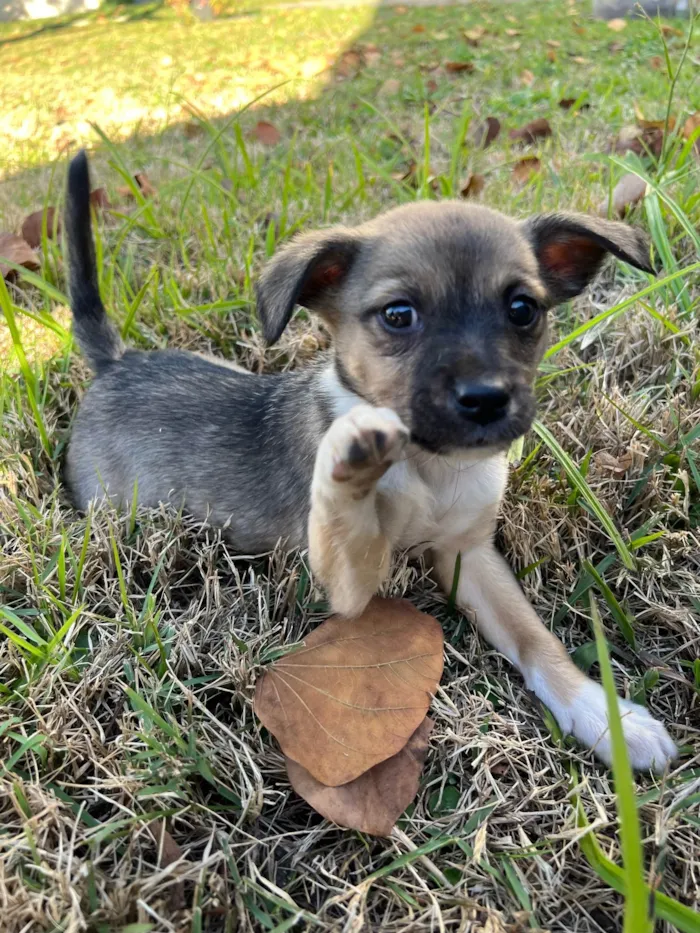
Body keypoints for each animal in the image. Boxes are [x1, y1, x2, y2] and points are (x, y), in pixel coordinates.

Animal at [65, 149, 680, 768]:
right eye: (398, 315)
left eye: (523, 309)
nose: (486, 400)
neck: (432, 469)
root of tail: (116, 364)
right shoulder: (346, 580)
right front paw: (352, 453)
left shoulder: (468, 556)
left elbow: (535, 637)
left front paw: (605, 717)